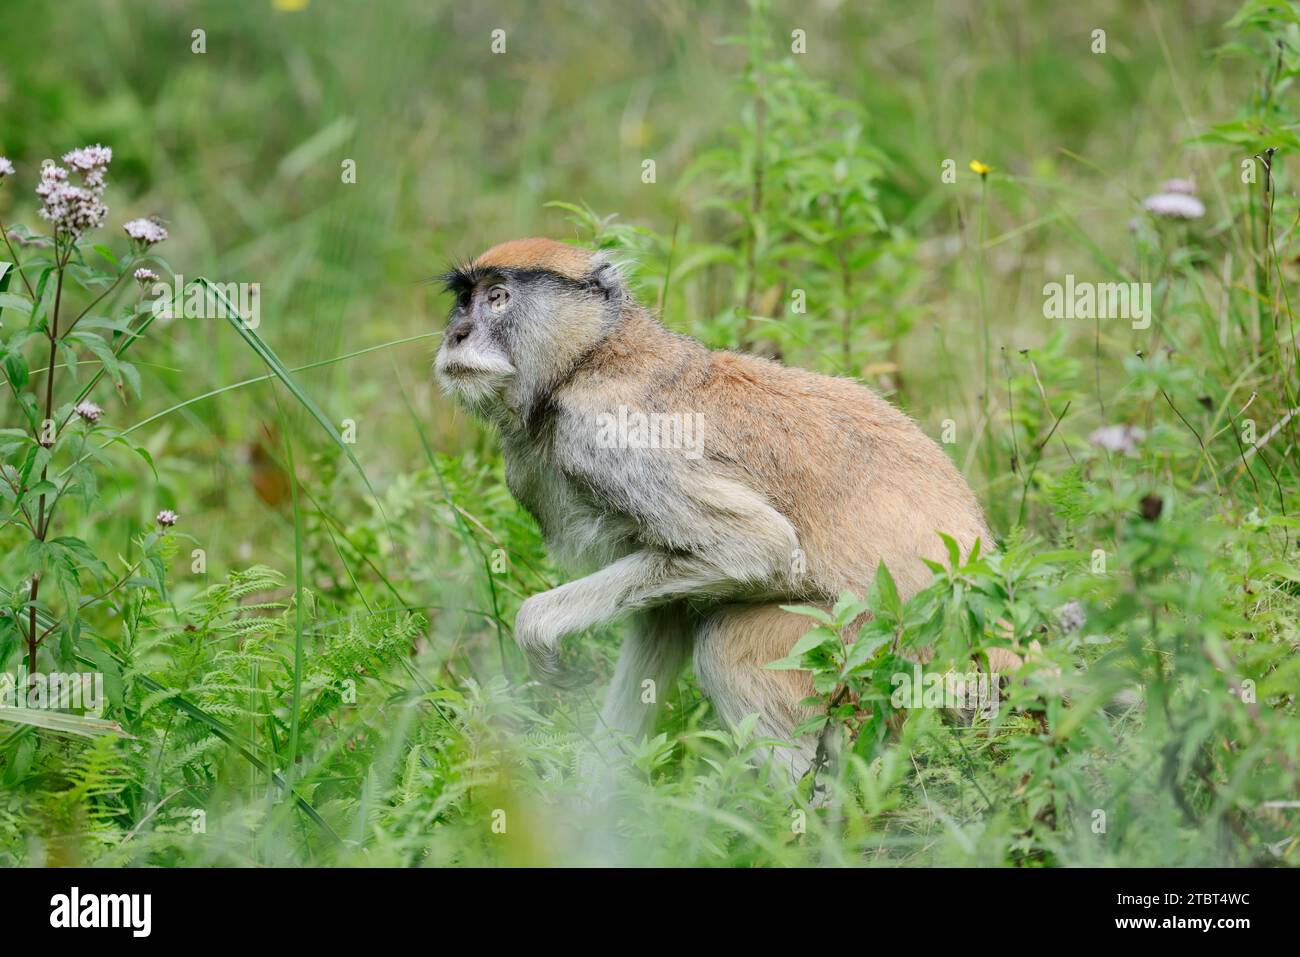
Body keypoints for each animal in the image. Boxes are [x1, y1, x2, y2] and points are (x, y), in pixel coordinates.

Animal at [436, 237, 993, 780]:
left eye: (498, 297)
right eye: (463, 300)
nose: (456, 333)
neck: (588, 357)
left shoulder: (605, 434)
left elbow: (759, 547)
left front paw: (537, 631)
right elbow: (665, 615)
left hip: (869, 658)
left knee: (727, 646)